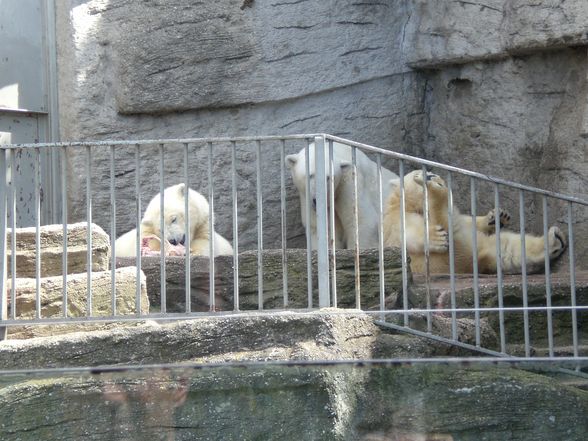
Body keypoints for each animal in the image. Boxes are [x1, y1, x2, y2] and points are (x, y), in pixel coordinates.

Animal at [384, 170, 568, 274]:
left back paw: (556, 239)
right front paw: (436, 237)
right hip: (449, 253)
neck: (409, 203)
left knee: (510, 246)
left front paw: (497, 217)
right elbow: (406, 231)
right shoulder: (395, 217)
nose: (432, 175)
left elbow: (469, 221)